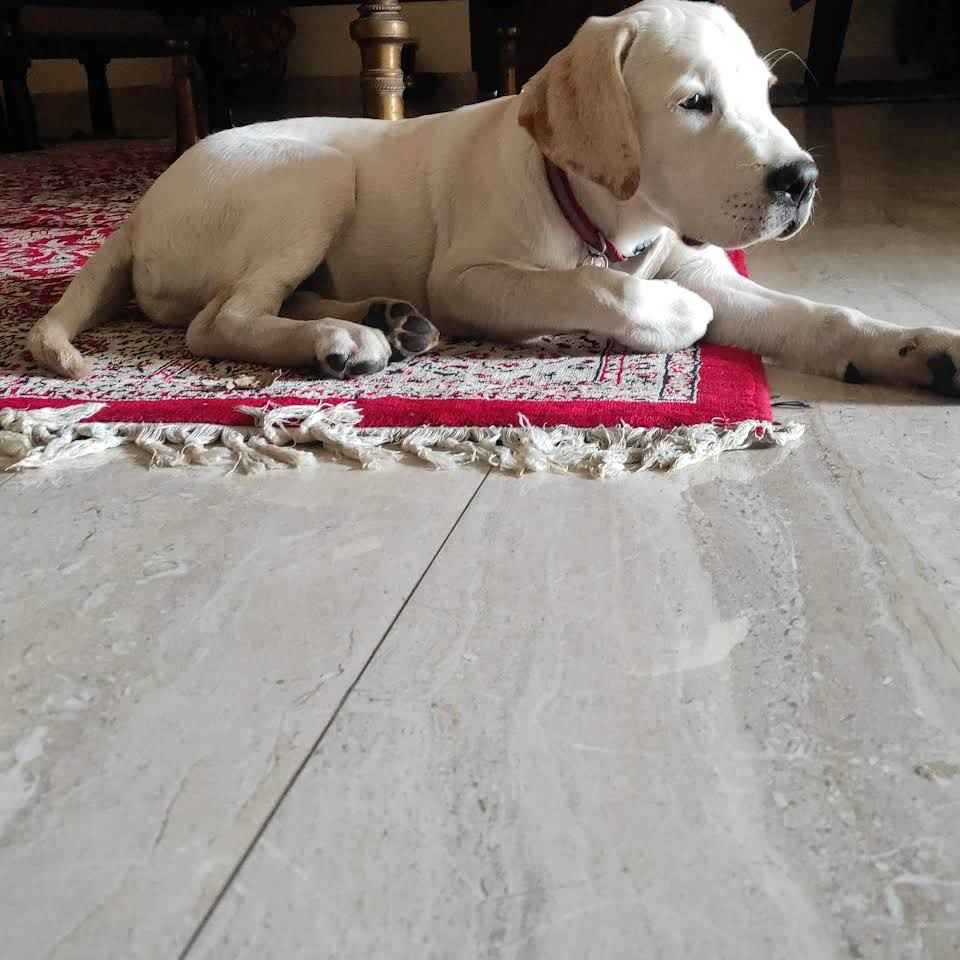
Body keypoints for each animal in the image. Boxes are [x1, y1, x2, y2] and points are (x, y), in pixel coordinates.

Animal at [27, 0, 959, 396]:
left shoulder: (698, 264)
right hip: (313, 175)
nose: (803, 181)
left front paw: (913, 347)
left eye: (768, 95)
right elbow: (600, 289)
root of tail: (141, 207)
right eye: (696, 103)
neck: (611, 218)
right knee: (216, 321)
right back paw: (343, 339)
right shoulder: (473, 278)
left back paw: (384, 318)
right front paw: (665, 316)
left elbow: (818, 317)